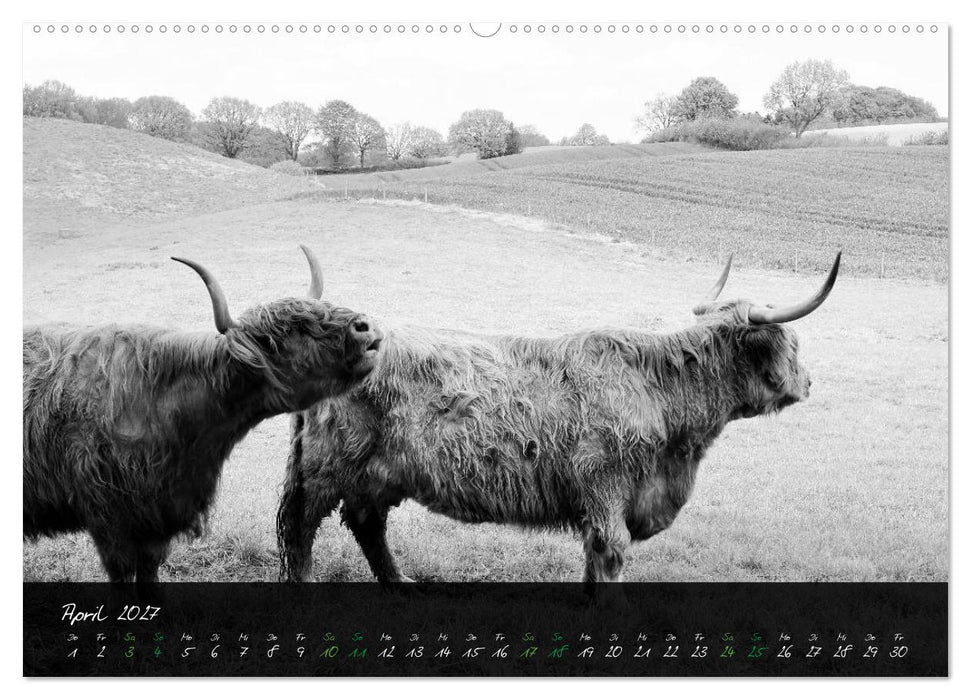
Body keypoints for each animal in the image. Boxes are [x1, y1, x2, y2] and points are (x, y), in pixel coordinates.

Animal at [276, 253, 840, 591]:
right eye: (792, 344)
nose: (810, 382)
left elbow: (594, 559)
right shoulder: (607, 490)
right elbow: (609, 555)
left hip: (375, 476)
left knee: (367, 524)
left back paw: (402, 585)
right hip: (325, 471)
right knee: (302, 530)